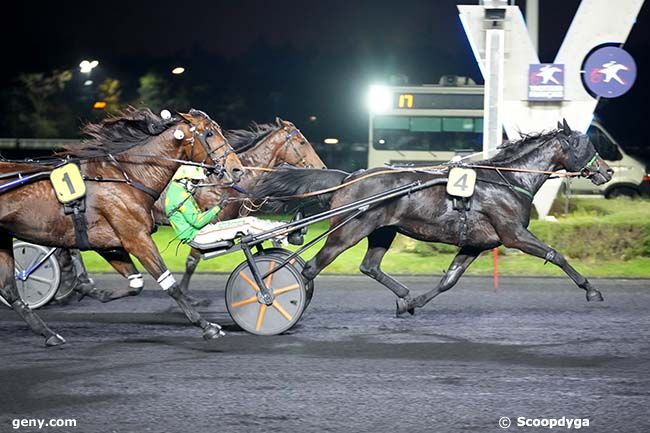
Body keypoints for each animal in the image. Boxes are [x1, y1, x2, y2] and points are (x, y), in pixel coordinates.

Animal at [0, 109, 242, 348]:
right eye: (209, 133)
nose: (237, 169)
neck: (127, 177)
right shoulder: (137, 238)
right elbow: (170, 285)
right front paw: (207, 326)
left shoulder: (110, 244)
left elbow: (136, 284)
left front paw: (88, 289)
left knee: (9, 290)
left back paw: (49, 334)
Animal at [253, 120, 612, 316]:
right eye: (584, 144)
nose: (607, 171)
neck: (507, 181)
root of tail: (350, 177)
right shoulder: (513, 235)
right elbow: (555, 254)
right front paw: (591, 290)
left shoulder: (476, 244)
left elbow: (448, 280)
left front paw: (413, 303)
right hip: (348, 231)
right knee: (310, 268)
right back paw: (277, 299)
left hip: (382, 231)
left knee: (369, 266)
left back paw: (403, 295)